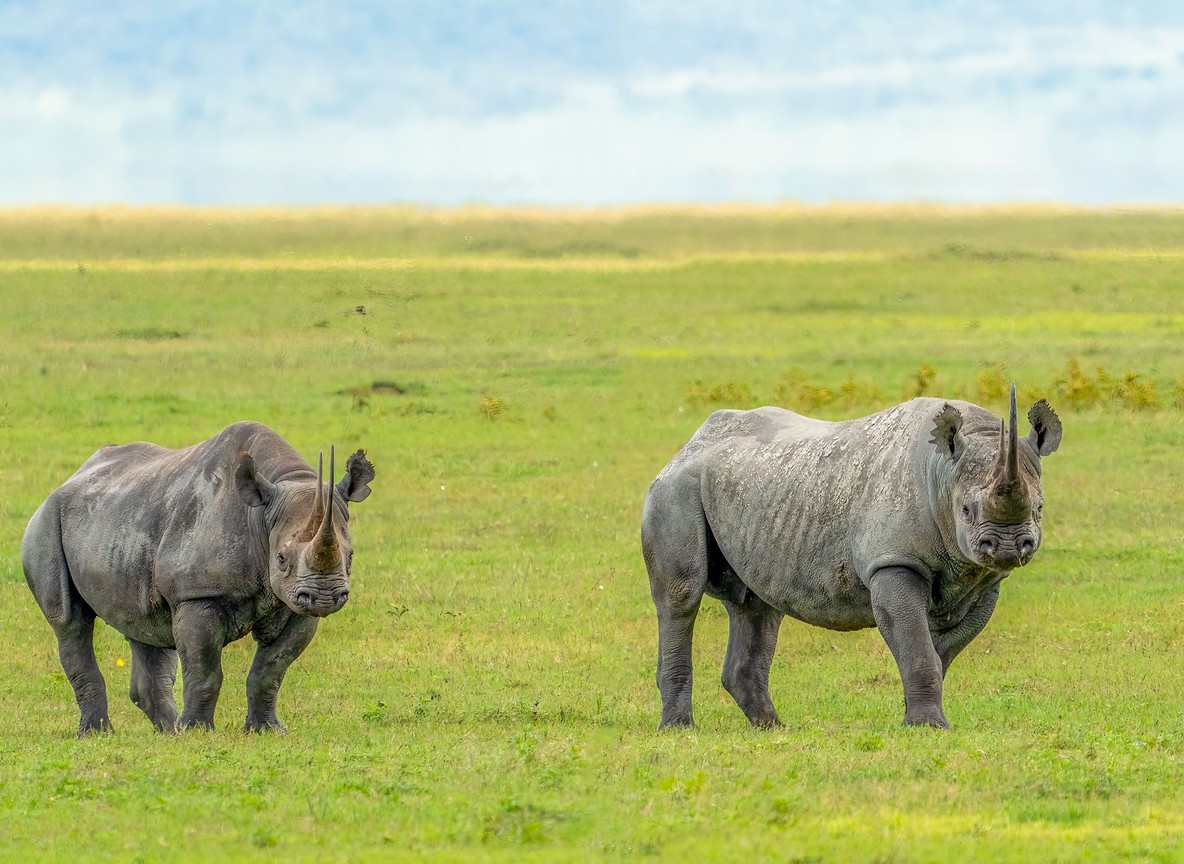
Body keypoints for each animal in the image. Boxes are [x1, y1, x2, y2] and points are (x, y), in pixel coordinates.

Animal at [22, 421, 375, 736]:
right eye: (281, 559)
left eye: (351, 556)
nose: (325, 597)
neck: (261, 517)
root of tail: (70, 478)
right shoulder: (198, 594)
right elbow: (205, 670)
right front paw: (197, 732)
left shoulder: (294, 606)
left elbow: (271, 669)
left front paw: (268, 731)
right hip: (46, 522)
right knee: (70, 623)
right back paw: (99, 734)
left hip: (124, 520)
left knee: (146, 627)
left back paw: (168, 733)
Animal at [642, 383, 1061, 730]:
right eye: (967, 510)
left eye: (1039, 508)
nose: (1007, 547)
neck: (943, 472)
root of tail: (691, 443)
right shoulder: (893, 561)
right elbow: (917, 648)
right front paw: (929, 727)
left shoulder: (984, 579)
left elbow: (938, 653)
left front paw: (917, 719)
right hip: (676, 487)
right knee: (681, 597)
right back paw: (680, 730)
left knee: (757, 605)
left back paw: (773, 728)